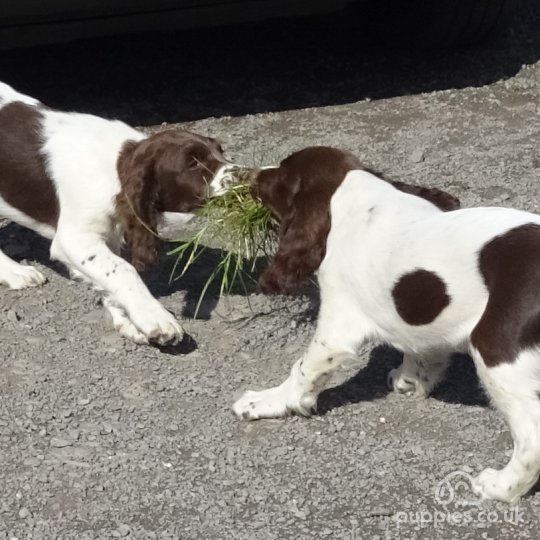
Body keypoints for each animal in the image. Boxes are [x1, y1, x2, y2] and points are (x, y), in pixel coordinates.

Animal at [0, 83, 236, 346]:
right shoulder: (75, 239)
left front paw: (128, 321)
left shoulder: (108, 233)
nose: (245, 176)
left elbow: (110, 274)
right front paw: (155, 318)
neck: (116, 167)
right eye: (192, 163)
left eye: (220, 151)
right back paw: (15, 272)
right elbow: (124, 270)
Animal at [235, 146, 540, 504]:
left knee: (531, 435)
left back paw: (501, 487)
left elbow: (303, 369)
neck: (353, 197)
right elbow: (422, 347)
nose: (253, 175)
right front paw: (410, 379)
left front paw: (267, 402)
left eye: (281, 175)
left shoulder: (338, 322)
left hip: (497, 347)